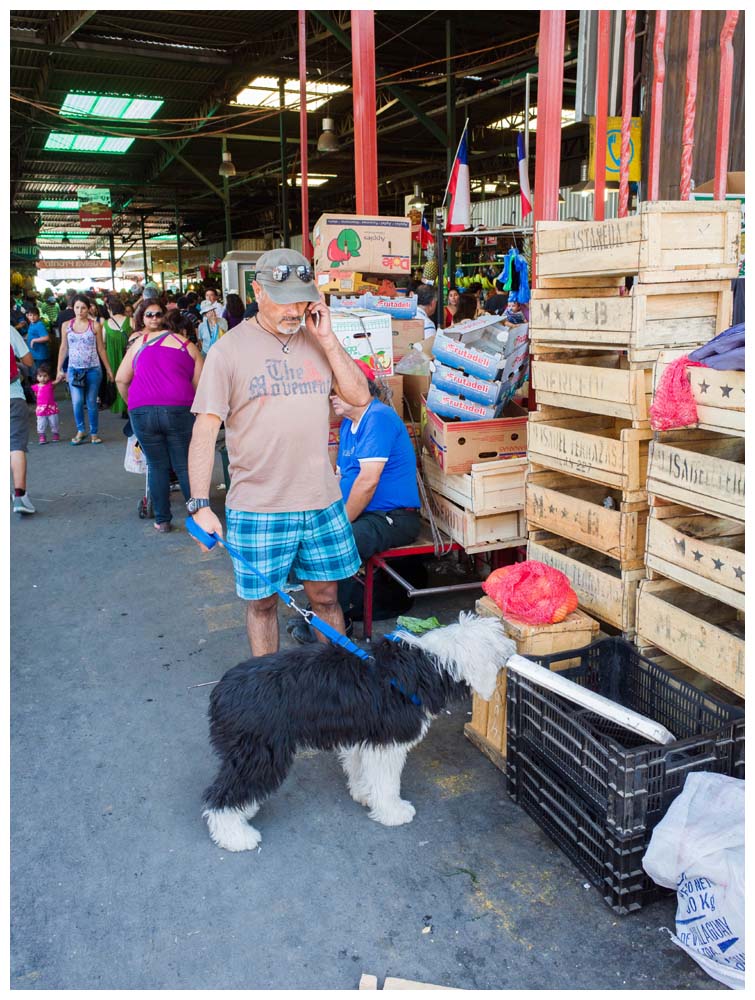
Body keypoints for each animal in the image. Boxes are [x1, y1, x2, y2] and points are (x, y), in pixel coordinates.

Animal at [201, 608, 512, 852]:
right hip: (261, 753)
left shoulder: (365, 735)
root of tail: (222, 690)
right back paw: (235, 835)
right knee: (221, 796)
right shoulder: (388, 741)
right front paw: (392, 811)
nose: (512, 649)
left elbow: (362, 769)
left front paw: (364, 794)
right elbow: (387, 782)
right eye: (497, 642)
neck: (428, 664)